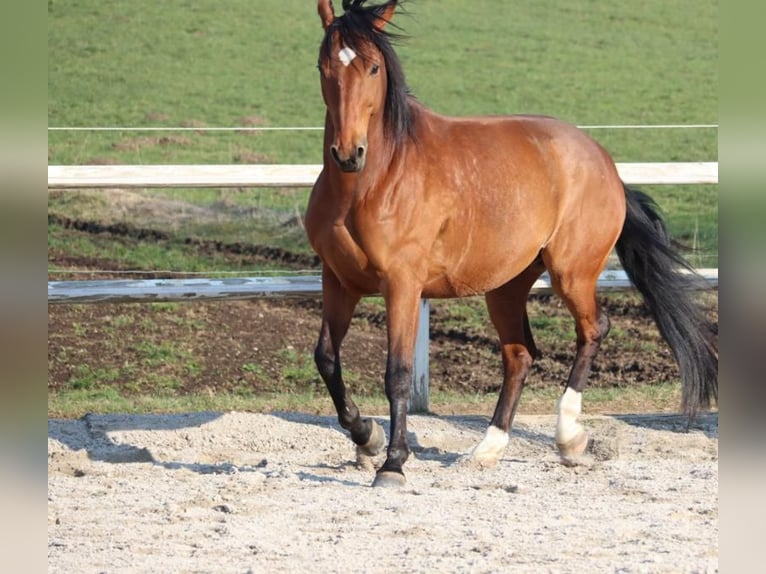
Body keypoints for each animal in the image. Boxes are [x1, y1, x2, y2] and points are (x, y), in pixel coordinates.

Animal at [304, 0, 720, 488]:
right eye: (323, 66)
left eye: (372, 67)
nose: (348, 153)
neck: (373, 183)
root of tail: (604, 163)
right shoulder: (339, 280)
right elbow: (327, 359)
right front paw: (366, 437)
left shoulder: (402, 285)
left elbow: (398, 374)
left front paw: (393, 463)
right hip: (506, 286)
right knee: (519, 356)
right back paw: (486, 450)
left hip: (571, 273)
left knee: (593, 331)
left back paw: (569, 439)